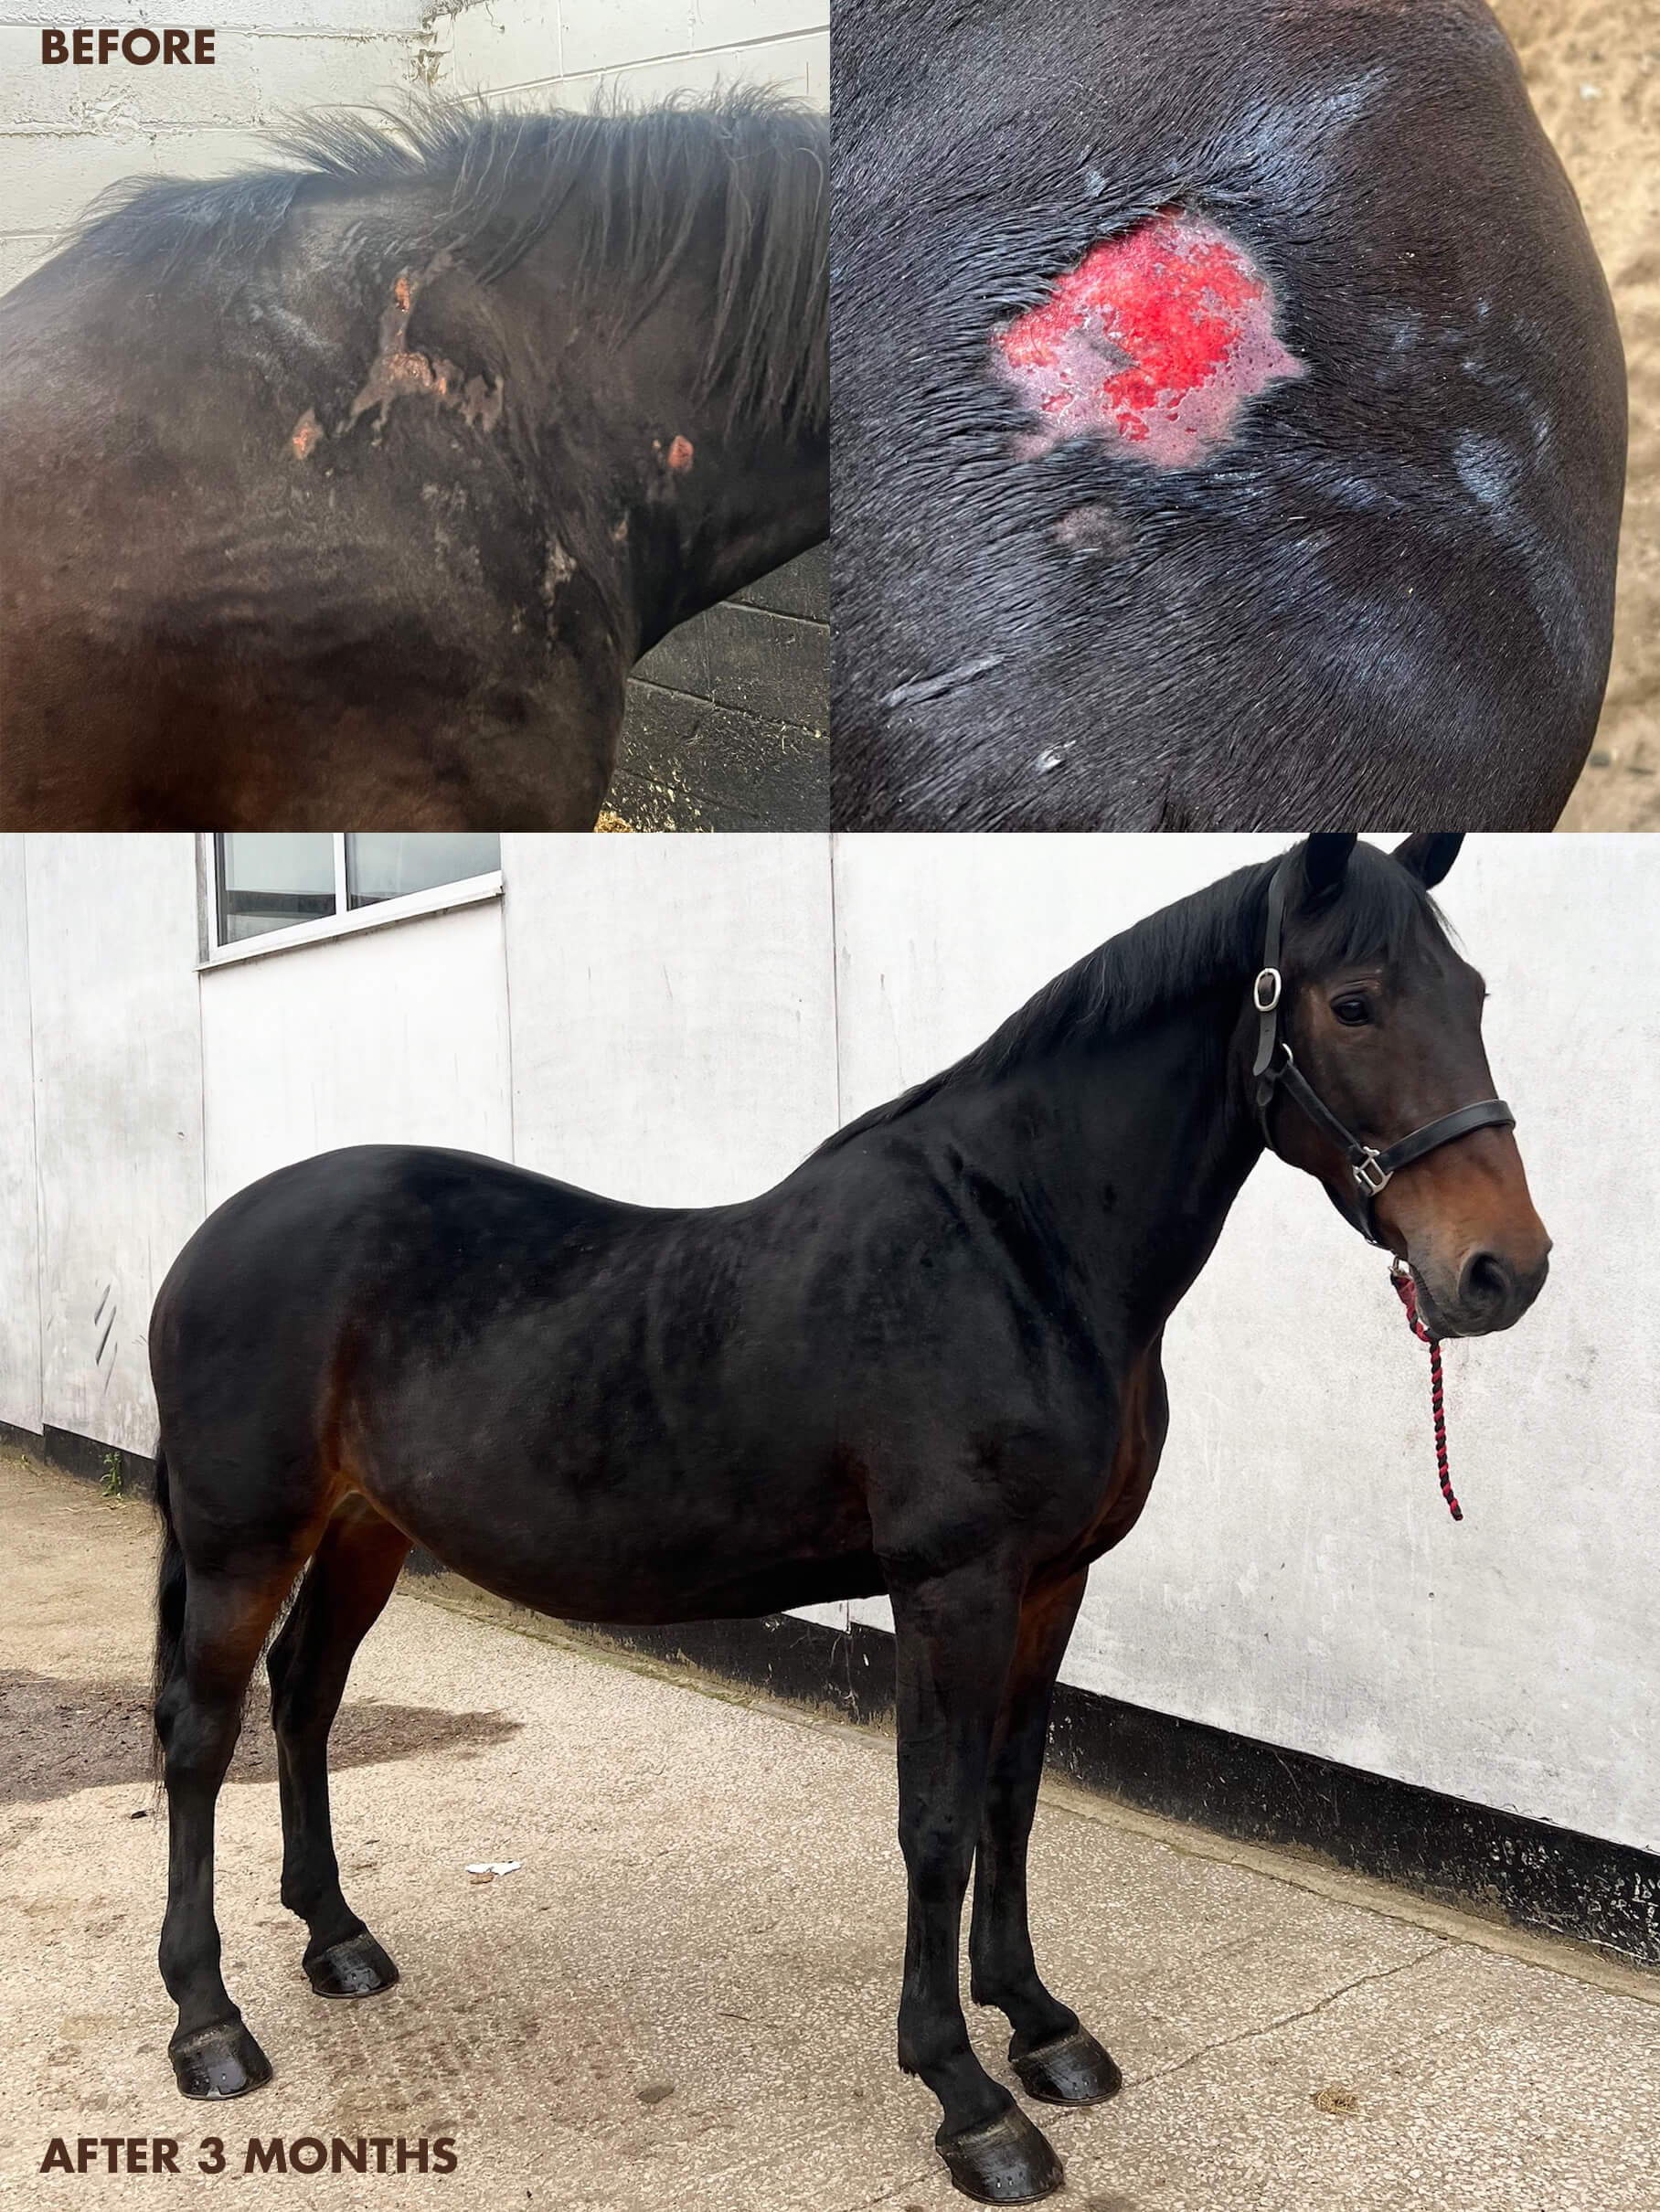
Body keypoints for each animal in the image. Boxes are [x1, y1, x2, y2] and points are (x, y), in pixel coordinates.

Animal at [146, 833, 1548, 2202]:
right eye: (1353, 1003)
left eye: (1476, 994)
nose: (1503, 1270)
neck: (1019, 1252)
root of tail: (210, 1238)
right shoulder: (952, 1585)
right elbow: (934, 1821)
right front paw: (968, 2098)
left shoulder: (1052, 1582)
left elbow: (1010, 1795)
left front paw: (1041, 2025)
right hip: (241, 1539)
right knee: (201, 1738)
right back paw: (210, 2024)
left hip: (364, 1529)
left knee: (306, 1694)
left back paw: (337, 1939)